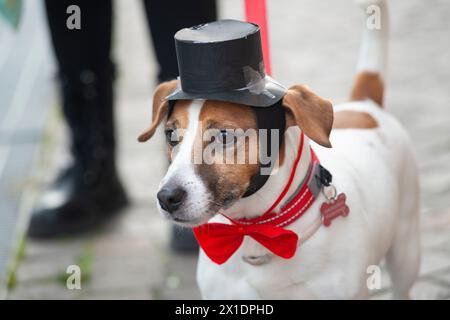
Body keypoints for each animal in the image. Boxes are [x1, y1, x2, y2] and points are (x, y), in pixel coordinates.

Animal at [139, 0, 420, 300]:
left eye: (224, 136)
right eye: (170, 135)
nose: (166, 198)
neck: (255, 234)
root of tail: (364, 104)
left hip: (406, 250)